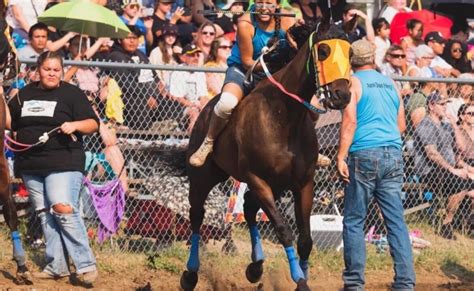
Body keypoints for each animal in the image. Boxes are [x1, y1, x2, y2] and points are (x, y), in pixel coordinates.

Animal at [181, 17, 356, 290]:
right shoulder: (257, 178)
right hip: (204, 178)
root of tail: (203, 112)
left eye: (350, 53)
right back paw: (190, 273)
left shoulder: (302, 183)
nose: (342, 96)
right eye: (324, 51)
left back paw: (256, 266)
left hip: (276, 184)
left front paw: (300, 276)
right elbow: (284, 230)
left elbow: (305, 239)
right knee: (197, 215)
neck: (283, 115)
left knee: (249, 207)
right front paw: (299, 279)